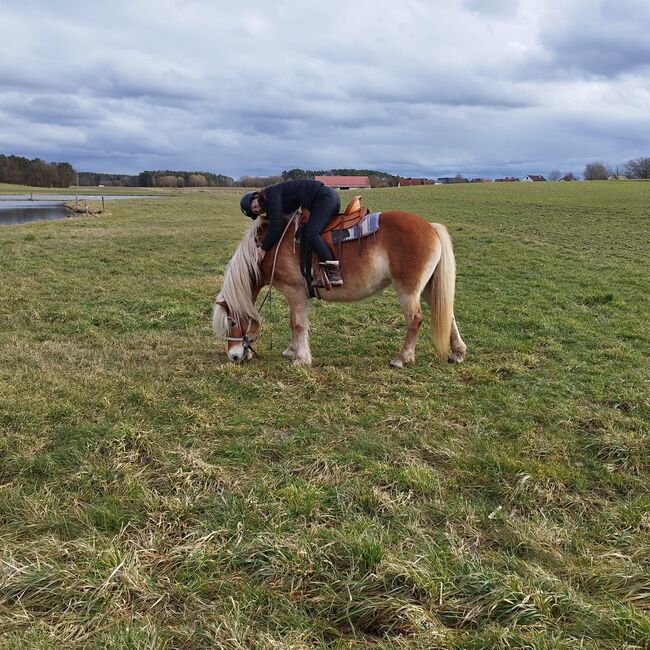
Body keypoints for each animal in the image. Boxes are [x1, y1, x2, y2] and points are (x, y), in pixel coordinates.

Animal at [213, 210, 466, 368]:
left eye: (232, 322)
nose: (233, 356)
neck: (273, 245)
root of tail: (431, 227)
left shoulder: (295, 292)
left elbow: (297, 324)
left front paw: (301, 358)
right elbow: (294, 323)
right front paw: (292, 350)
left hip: (408, 291)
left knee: (415, 320)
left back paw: (402, 359)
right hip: (428, 288)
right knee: (448, 314)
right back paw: (458, 352)